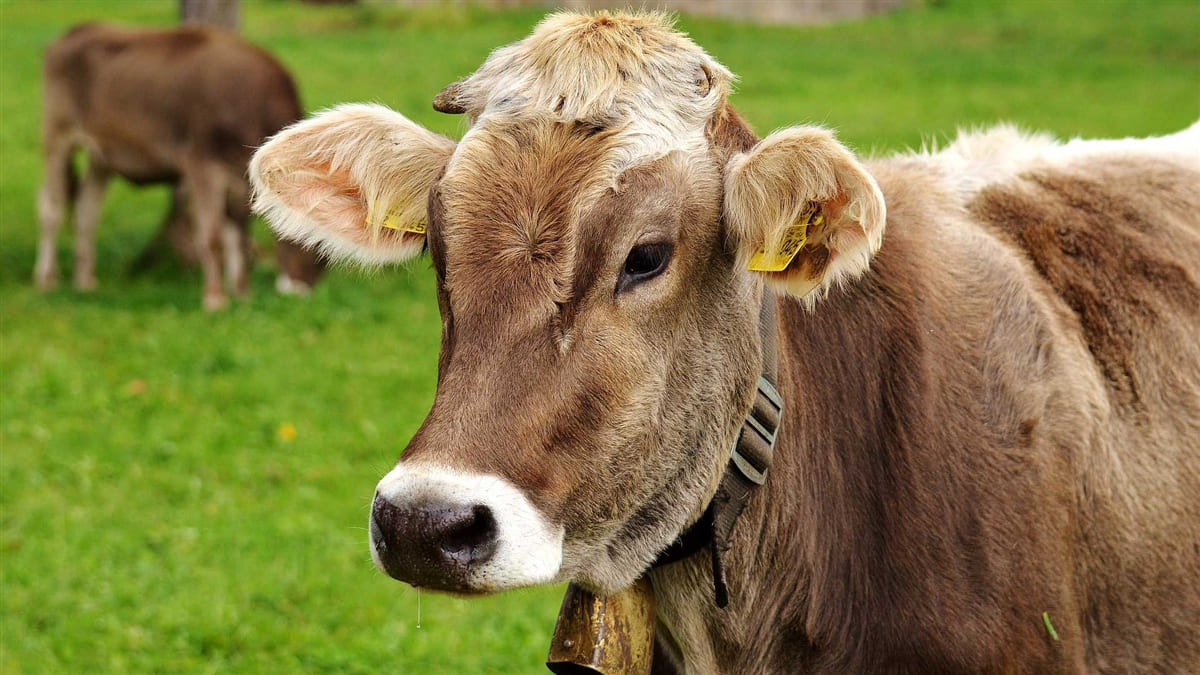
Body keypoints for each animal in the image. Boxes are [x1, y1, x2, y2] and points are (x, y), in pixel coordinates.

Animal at [36, 22, 324, 309]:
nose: (303, 290)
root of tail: (80, 28)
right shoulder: (202, 165)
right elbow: (213, 236)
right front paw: (215, 298)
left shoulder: (239, 178)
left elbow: (238, 236)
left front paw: (242, 294)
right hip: (57, 135)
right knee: (51, 207)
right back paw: (47, 279)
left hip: (102, 156)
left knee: (87, 211)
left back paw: (84, 280)